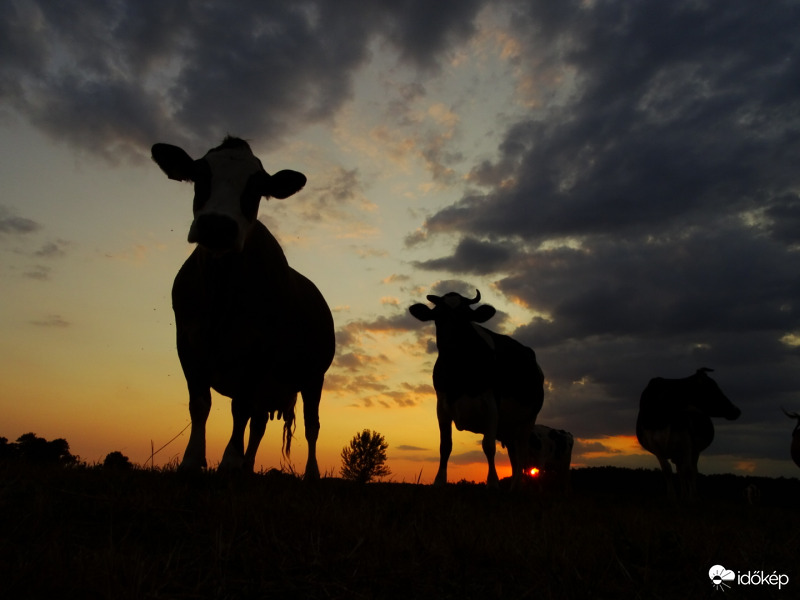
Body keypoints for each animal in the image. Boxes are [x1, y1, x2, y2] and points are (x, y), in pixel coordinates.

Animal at [151, 136, 334, 478]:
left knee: (311, 426)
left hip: (313, 377)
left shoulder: (260, 350)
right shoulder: (187, 343)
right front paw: (192, 460)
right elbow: (200, 404)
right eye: (200, 175)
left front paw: (229, 461)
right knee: (259, 424)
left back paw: (311, 473)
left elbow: (241, 408)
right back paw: (248, 467)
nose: (217, 225)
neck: (220, 294)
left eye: (256, 188)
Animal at [412, 288, 544, 490]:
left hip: (528, 420)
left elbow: (488, 446)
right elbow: (445, 446)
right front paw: (439, 481)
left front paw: (493, 482)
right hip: (509, 427)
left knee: (522, 452)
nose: (451, 346)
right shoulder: (442, 405)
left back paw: (516, 486)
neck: (459, 376)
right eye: (438, 316)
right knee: (514, 455)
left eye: (466, 317)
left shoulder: (491, 404)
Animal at [636, 368, 740, 500]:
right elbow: (667, 470)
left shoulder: (686, 443)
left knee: (691, 470)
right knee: (680, 471)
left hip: (694, 450)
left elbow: (688, 471)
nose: (737, 410)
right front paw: (672, 496)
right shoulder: (655, 445)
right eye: (712, 387)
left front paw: (691, 497)